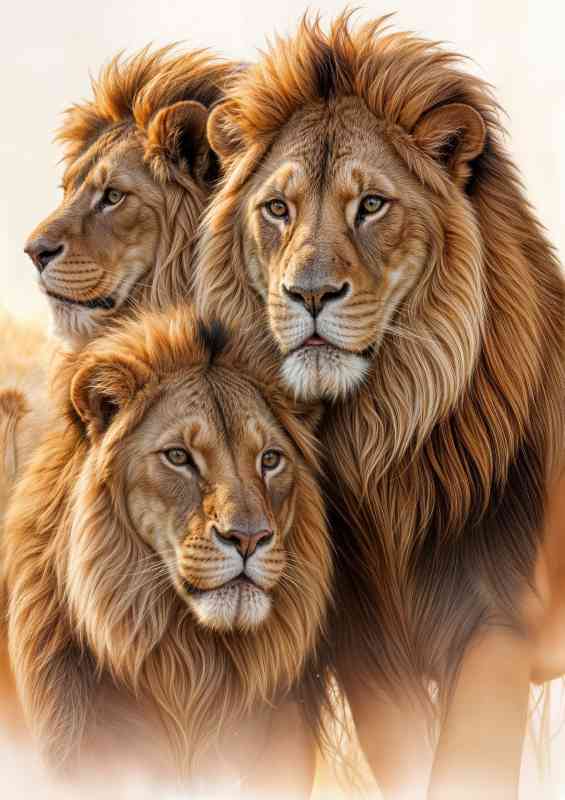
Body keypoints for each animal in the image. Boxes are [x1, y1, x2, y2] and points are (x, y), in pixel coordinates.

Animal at [194, 13, 565, 798]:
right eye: (278, 209)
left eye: (370, 205)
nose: (309, 293)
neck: (377, 441)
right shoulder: (372, 654)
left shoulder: (497, 630)